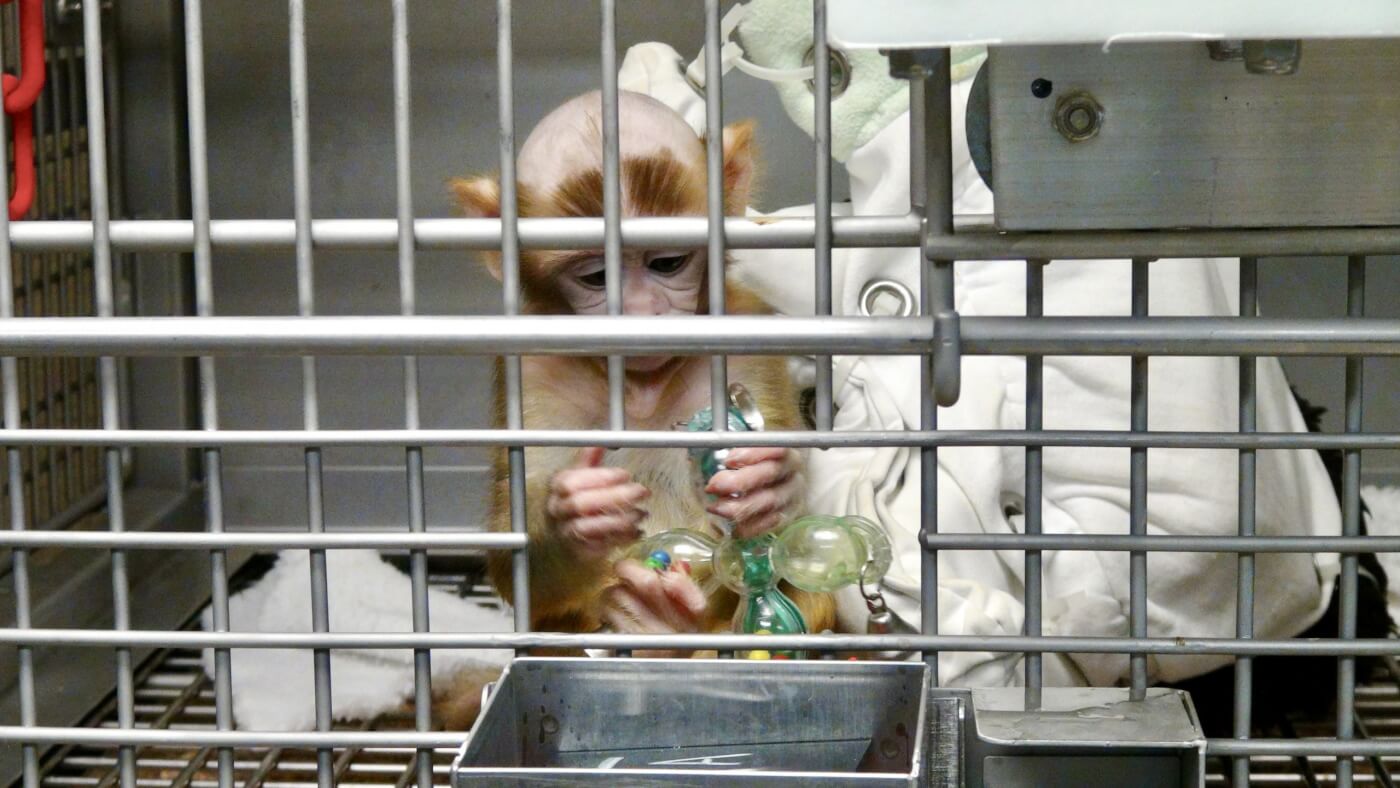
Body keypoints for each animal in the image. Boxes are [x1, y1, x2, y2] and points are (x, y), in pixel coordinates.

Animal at [456, 90, 828, 646]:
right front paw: (577, 516)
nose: (641, 312)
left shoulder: (748, 335)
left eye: (667, 263)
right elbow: (516, 560)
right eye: (597, 276)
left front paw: (770, 484)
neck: (640, 386)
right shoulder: (531, 367)